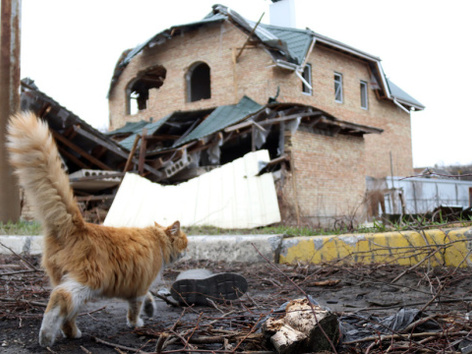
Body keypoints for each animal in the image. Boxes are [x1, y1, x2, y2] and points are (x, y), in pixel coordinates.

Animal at [6, 112, 188, 348]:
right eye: (185, 242)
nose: (187, 250)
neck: (156, 241)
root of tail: (78, 225)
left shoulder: (137, 286)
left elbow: (148, 298)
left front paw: (149, 310)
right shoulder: (139, 287)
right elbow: (135, 308)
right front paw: (136, 323)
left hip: (67, 281)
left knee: (67, 313)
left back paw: (71, 333)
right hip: (87, 282)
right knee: (59, 299)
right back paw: (46, 336)